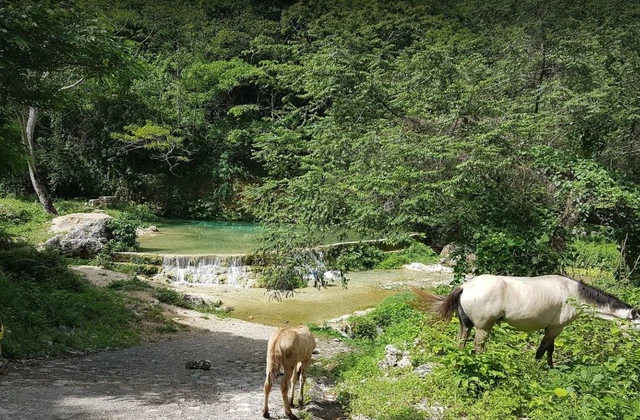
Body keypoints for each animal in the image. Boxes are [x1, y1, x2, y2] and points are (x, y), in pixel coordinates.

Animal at [412, 274, 640, 366]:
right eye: (638, 326)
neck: (572, 294)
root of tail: (465, 287)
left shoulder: (553, 329)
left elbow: (549, 350)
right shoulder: (555, 328)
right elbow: (542, 351)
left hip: (465, 325)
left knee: (461, 344)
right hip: (483, 328)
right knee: (478, 348)